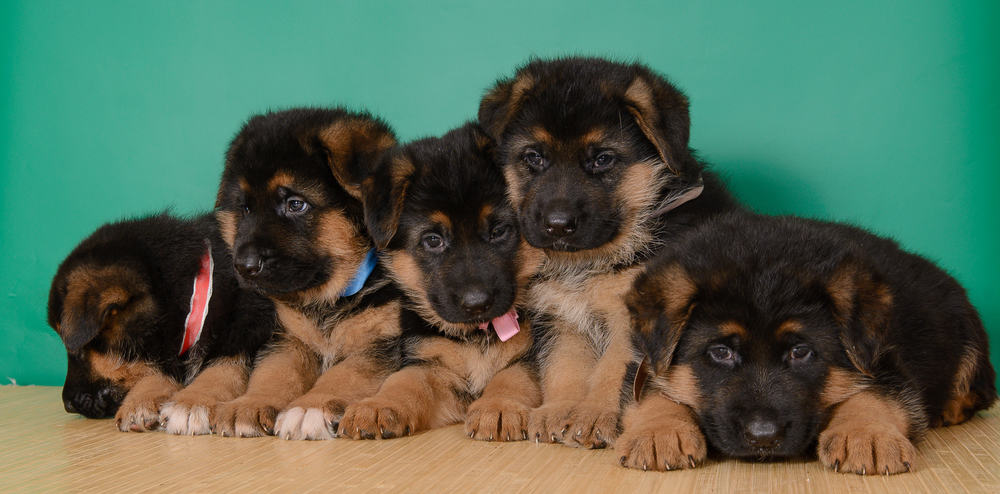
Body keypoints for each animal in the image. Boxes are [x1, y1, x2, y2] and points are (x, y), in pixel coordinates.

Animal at [46, 212, 274, 432]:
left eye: (77, 350)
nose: (68, 405)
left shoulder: (254, 326)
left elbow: (225, 365)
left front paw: (192, 401)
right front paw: (140, 400)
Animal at [211, 108, 402, 440]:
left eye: (296, 204)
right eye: (245, 209)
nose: (244, 266)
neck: (329, 297)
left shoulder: (383, 343)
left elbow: (345, 373)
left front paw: (309, 407)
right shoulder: (287, 337)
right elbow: (274, 372)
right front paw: (249, 403)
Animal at [336, 122, 544, 440]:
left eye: (499, 231)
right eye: (433, 240)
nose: (477, 304)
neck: (478, 334)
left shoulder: (534, 356)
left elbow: (515, 375)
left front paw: (498, 406)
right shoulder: (432, 364)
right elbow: (405, 381)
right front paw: (378, 405)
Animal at [476, 55, 744, 448]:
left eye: (602, 159)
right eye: (534, 157)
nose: (557, 225)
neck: (590, 263)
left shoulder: (633, 322)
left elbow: (611, 373)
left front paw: (593, 416)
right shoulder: (560, 315)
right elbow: (564, 366)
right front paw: (560, 411)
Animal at [620, 213, 996, 474]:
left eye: (801, 352)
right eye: (720, 352)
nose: (763, 437)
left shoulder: (883, 361)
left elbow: (875, 394)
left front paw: (866, 435)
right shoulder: (644, 359)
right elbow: (651, 391)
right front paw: (658, 432)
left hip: (967, 333)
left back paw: (948, 409)